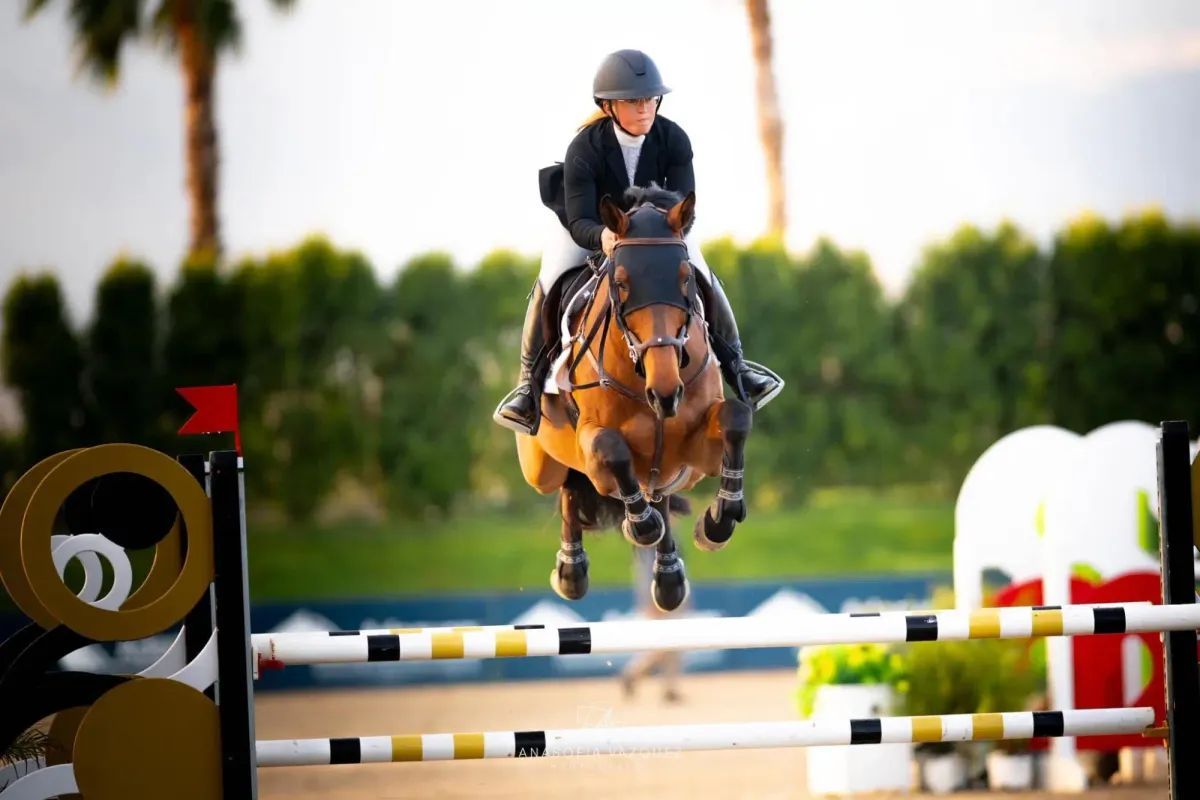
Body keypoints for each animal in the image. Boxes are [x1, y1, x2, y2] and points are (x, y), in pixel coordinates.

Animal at [515, 186, 754, 612]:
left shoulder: (697, 456)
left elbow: (736, 419)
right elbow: (610, 447)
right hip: (539, 466)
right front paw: (640, 525)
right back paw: (571, 572)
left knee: (657, 493)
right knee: (567, 485)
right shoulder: (592, 442)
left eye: (685, 279)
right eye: (622, 282)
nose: (666, 393)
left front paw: (718, 522)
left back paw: (669, 579)